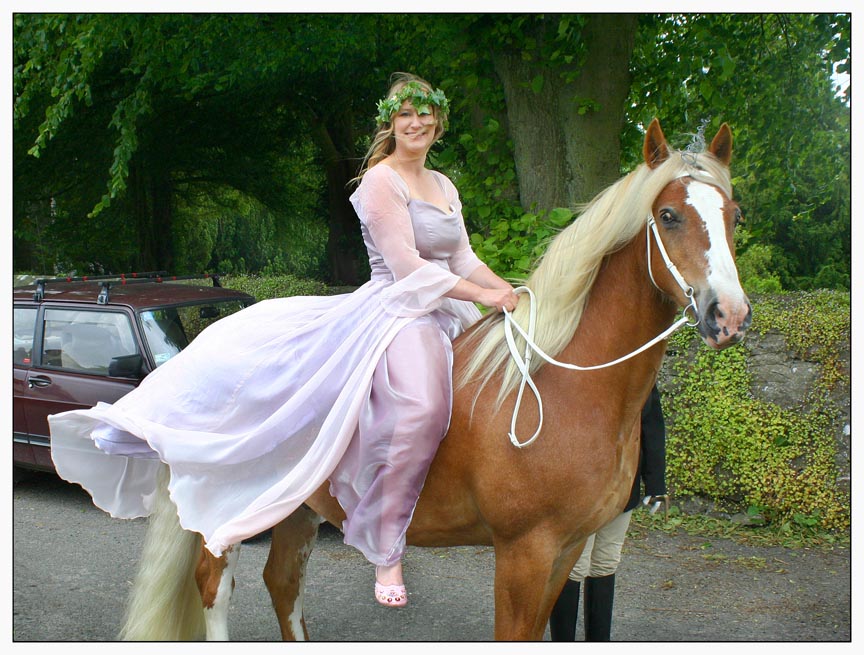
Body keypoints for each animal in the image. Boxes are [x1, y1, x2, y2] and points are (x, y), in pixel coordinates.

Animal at [118, 119, 752, 640]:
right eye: (668, 216)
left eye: (733, 215)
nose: (729, 315)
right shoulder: (524, 553)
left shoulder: (569, 549)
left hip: (295, 504)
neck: (563, 387)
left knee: (282, 582)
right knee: (215, 586)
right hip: (228, 507)